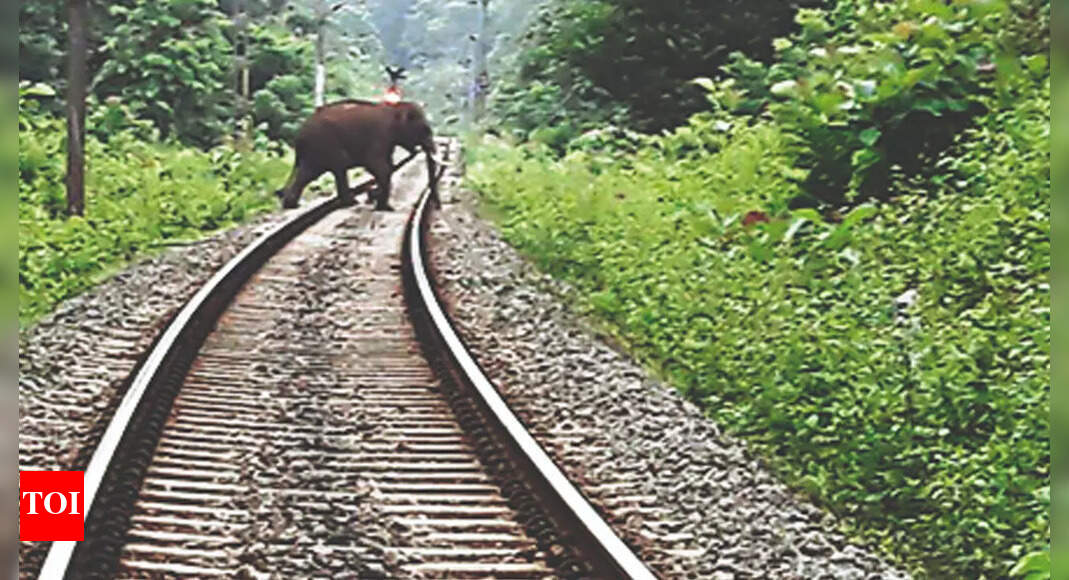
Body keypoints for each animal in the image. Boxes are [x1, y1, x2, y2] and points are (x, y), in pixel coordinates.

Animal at [275, 99, 443, 211]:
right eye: (425, 130)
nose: (438, 206)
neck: (394, 109)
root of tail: (299, 135)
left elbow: (387, 166)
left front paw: (375, 197)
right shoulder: (379, 137)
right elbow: (378, 167)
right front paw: (383, 205)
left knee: (320, 172)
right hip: (323, 145)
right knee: (323, 170)